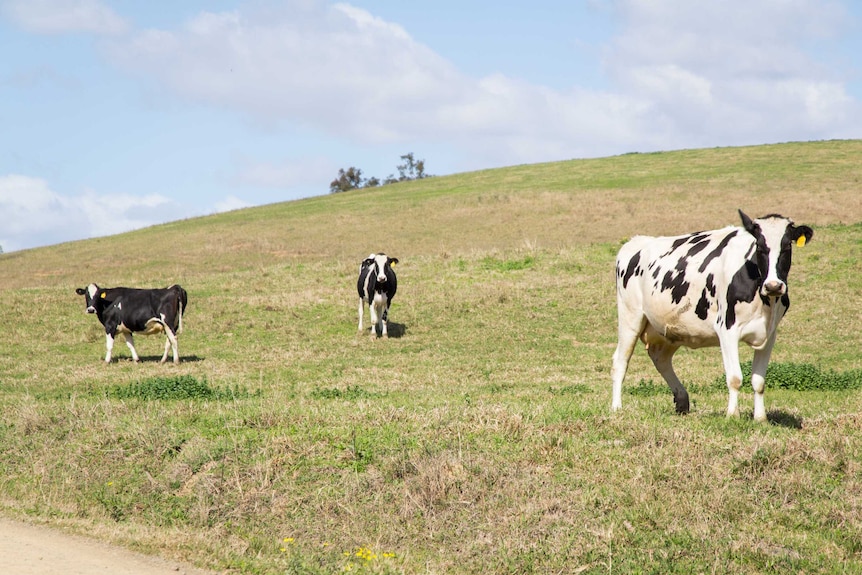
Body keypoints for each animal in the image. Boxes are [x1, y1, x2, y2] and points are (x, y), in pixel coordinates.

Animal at [612, 212, 812, 424]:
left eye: (787, 246)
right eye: (759, 246)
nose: (773, 286)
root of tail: (635, 241)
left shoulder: (769, 334)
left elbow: (759, 381)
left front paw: (760, 418)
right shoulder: (727, 329)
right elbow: (735, 378)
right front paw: (732, 415)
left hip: (670, 329)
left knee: (661, 359)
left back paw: (682, 399)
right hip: (630, 317)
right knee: (620, 360)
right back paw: (617, 407)